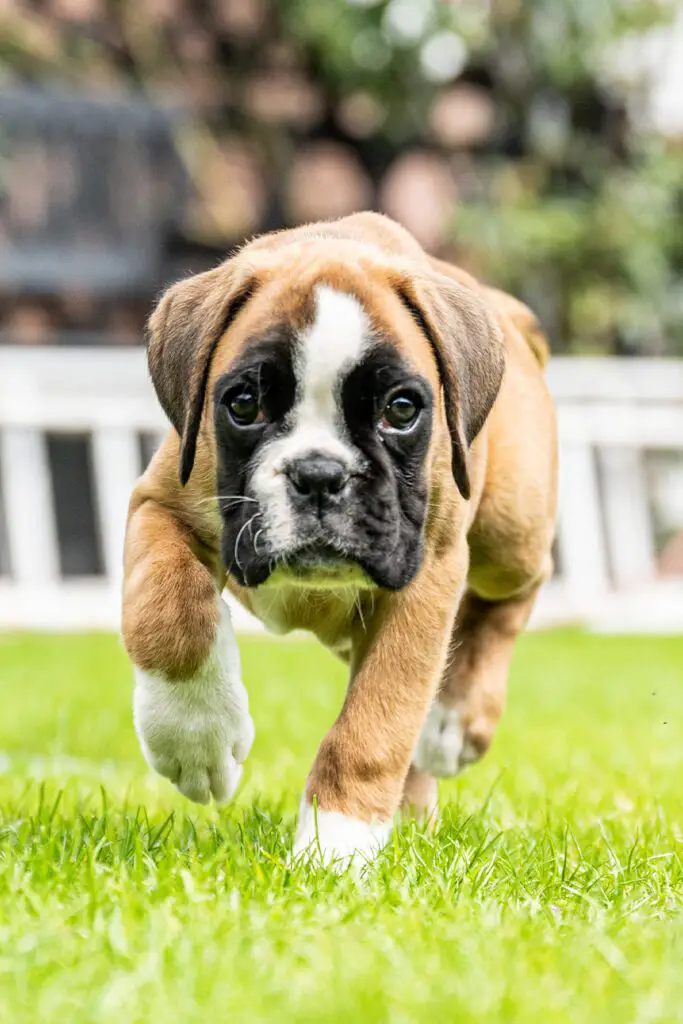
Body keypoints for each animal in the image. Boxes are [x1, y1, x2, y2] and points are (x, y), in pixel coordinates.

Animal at [122, 214, 557, 864]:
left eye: (401, 410)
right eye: (243, 404)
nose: (320, 475)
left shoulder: (425, 578)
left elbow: (374, 728)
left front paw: (336, 848)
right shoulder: (161, 504)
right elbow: (167, 616)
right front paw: (196, 741)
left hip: (512, 534)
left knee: (519, 588)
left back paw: (456, 718)